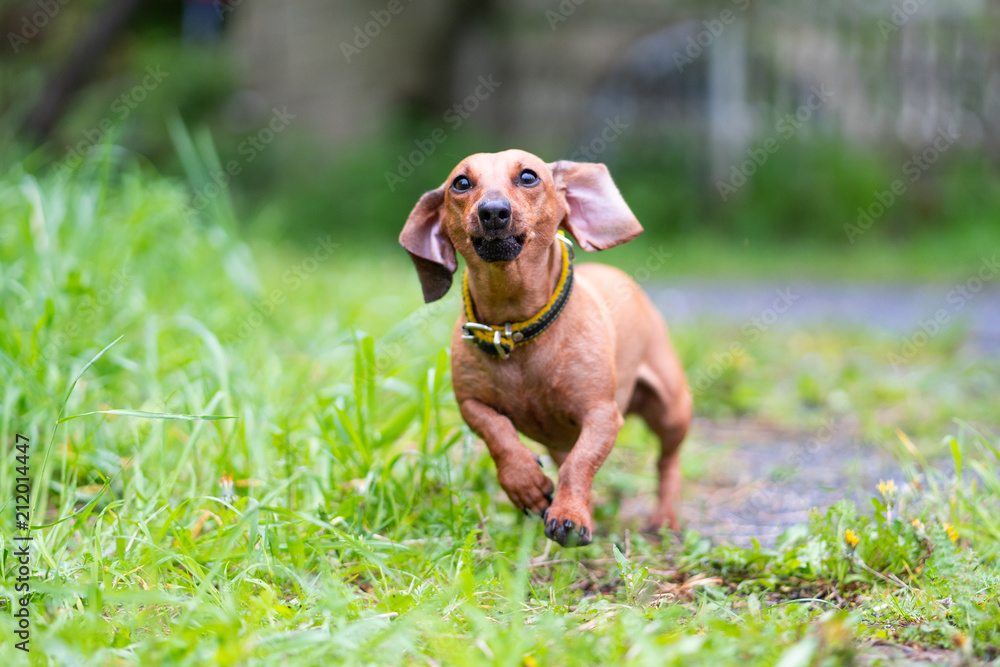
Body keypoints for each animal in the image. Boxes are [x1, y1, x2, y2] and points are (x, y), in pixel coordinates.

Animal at [398, 151, 688, 548]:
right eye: (461, 183)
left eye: (528, 176)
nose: (493, 211)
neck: (515, 327)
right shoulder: (471, 405)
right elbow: (500, 435)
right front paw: (527, 485)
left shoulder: (602, 415)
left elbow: (581, 462)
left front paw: (570, 515)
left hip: (672, 412)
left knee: (666, 462)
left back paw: (664, 516)